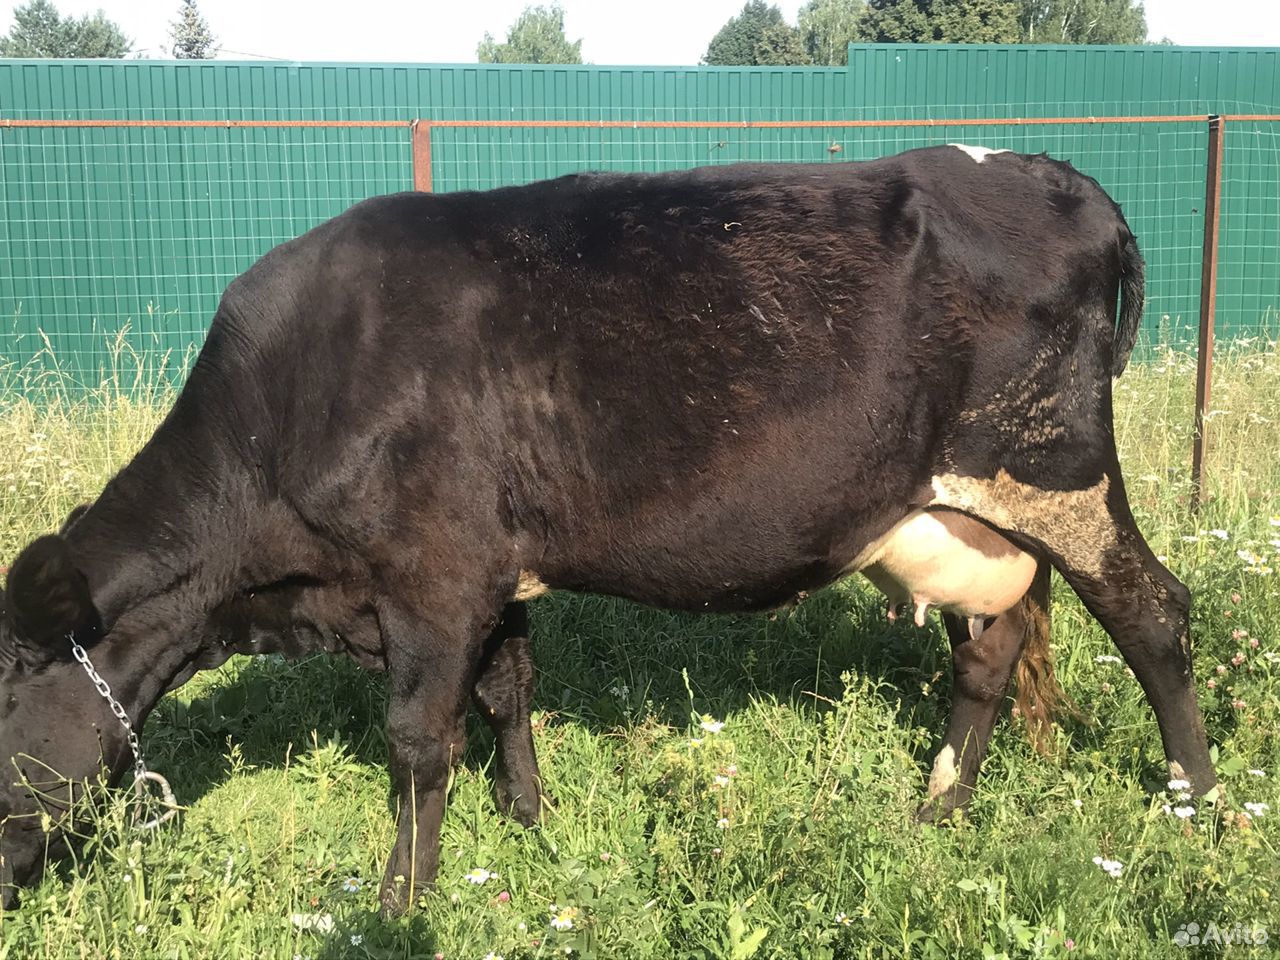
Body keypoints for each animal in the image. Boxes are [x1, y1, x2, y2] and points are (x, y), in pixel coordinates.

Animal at [0, 145, 1216, 914]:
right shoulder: (490, 573)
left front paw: (398, 904)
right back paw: (936, 808)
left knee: (1153, 612)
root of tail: (1047, 172)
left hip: (1057, 473)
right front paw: (529, 823)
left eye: (4, 698)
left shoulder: (430, 576)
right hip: (958, 513)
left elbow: (416, 742)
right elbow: (506, 694)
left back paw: (1195, 807)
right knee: (989, 650)